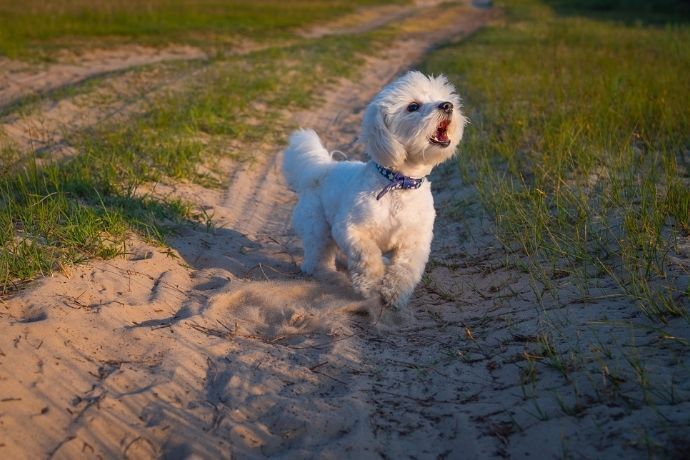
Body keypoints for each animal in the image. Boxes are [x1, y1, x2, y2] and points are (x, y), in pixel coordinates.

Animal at [282, 71, 464, 312]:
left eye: (444, 98)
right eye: (413, 107)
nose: (447, 105)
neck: (399, 184)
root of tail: (322, 168)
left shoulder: (415, 241)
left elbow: (405, 269)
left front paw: (394, 293)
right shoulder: (351, 230)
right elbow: (367, 256)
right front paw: (370, 285)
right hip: (318, 227)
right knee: (316, 258)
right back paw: (328, 275)